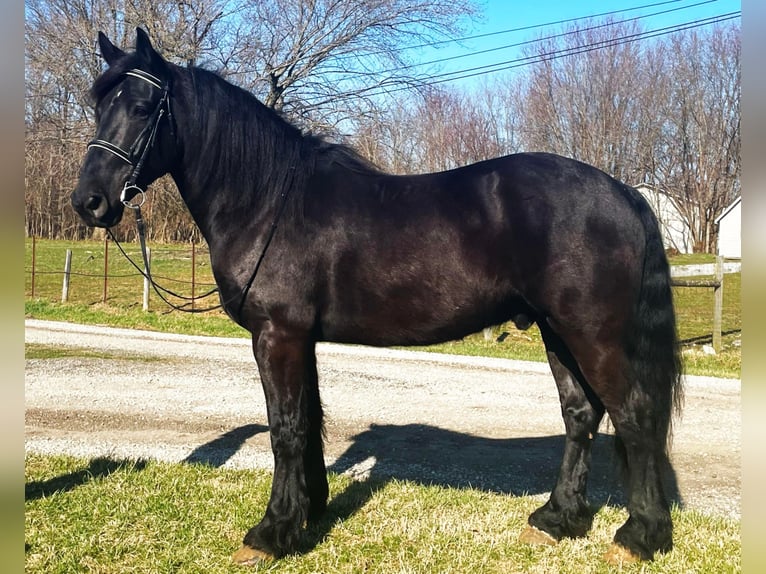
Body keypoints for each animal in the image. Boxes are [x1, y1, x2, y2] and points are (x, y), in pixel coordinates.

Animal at [72, 29, 684, 564]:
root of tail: (624, 192)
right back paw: (558, 520)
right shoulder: (300, 339)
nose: (89, 202)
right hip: (557, 330)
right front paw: (308, 513)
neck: (269, 201)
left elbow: (285, 428)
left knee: (634, 415)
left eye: (144, 107)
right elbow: (310, 422)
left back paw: (640, 536)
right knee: (582, 414)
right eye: (98, 104)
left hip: (592, 333)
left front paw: (271, 532)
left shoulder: (277, 335)